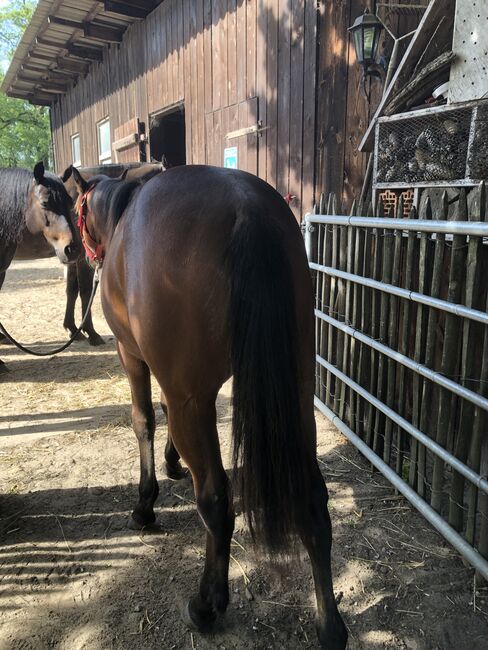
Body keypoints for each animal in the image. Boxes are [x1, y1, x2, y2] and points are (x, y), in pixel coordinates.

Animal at [71, 165, 346, 644]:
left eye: (78, 210)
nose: (71, 250)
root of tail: (245, 205)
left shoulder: (133, 357)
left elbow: (144, 420)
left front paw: (145, 504)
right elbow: (162, 414)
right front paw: (173, 464)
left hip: (193, 399)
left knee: (217, 499)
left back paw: (206, 605)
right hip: (294, 393)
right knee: (312, 500)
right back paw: (330, 626)